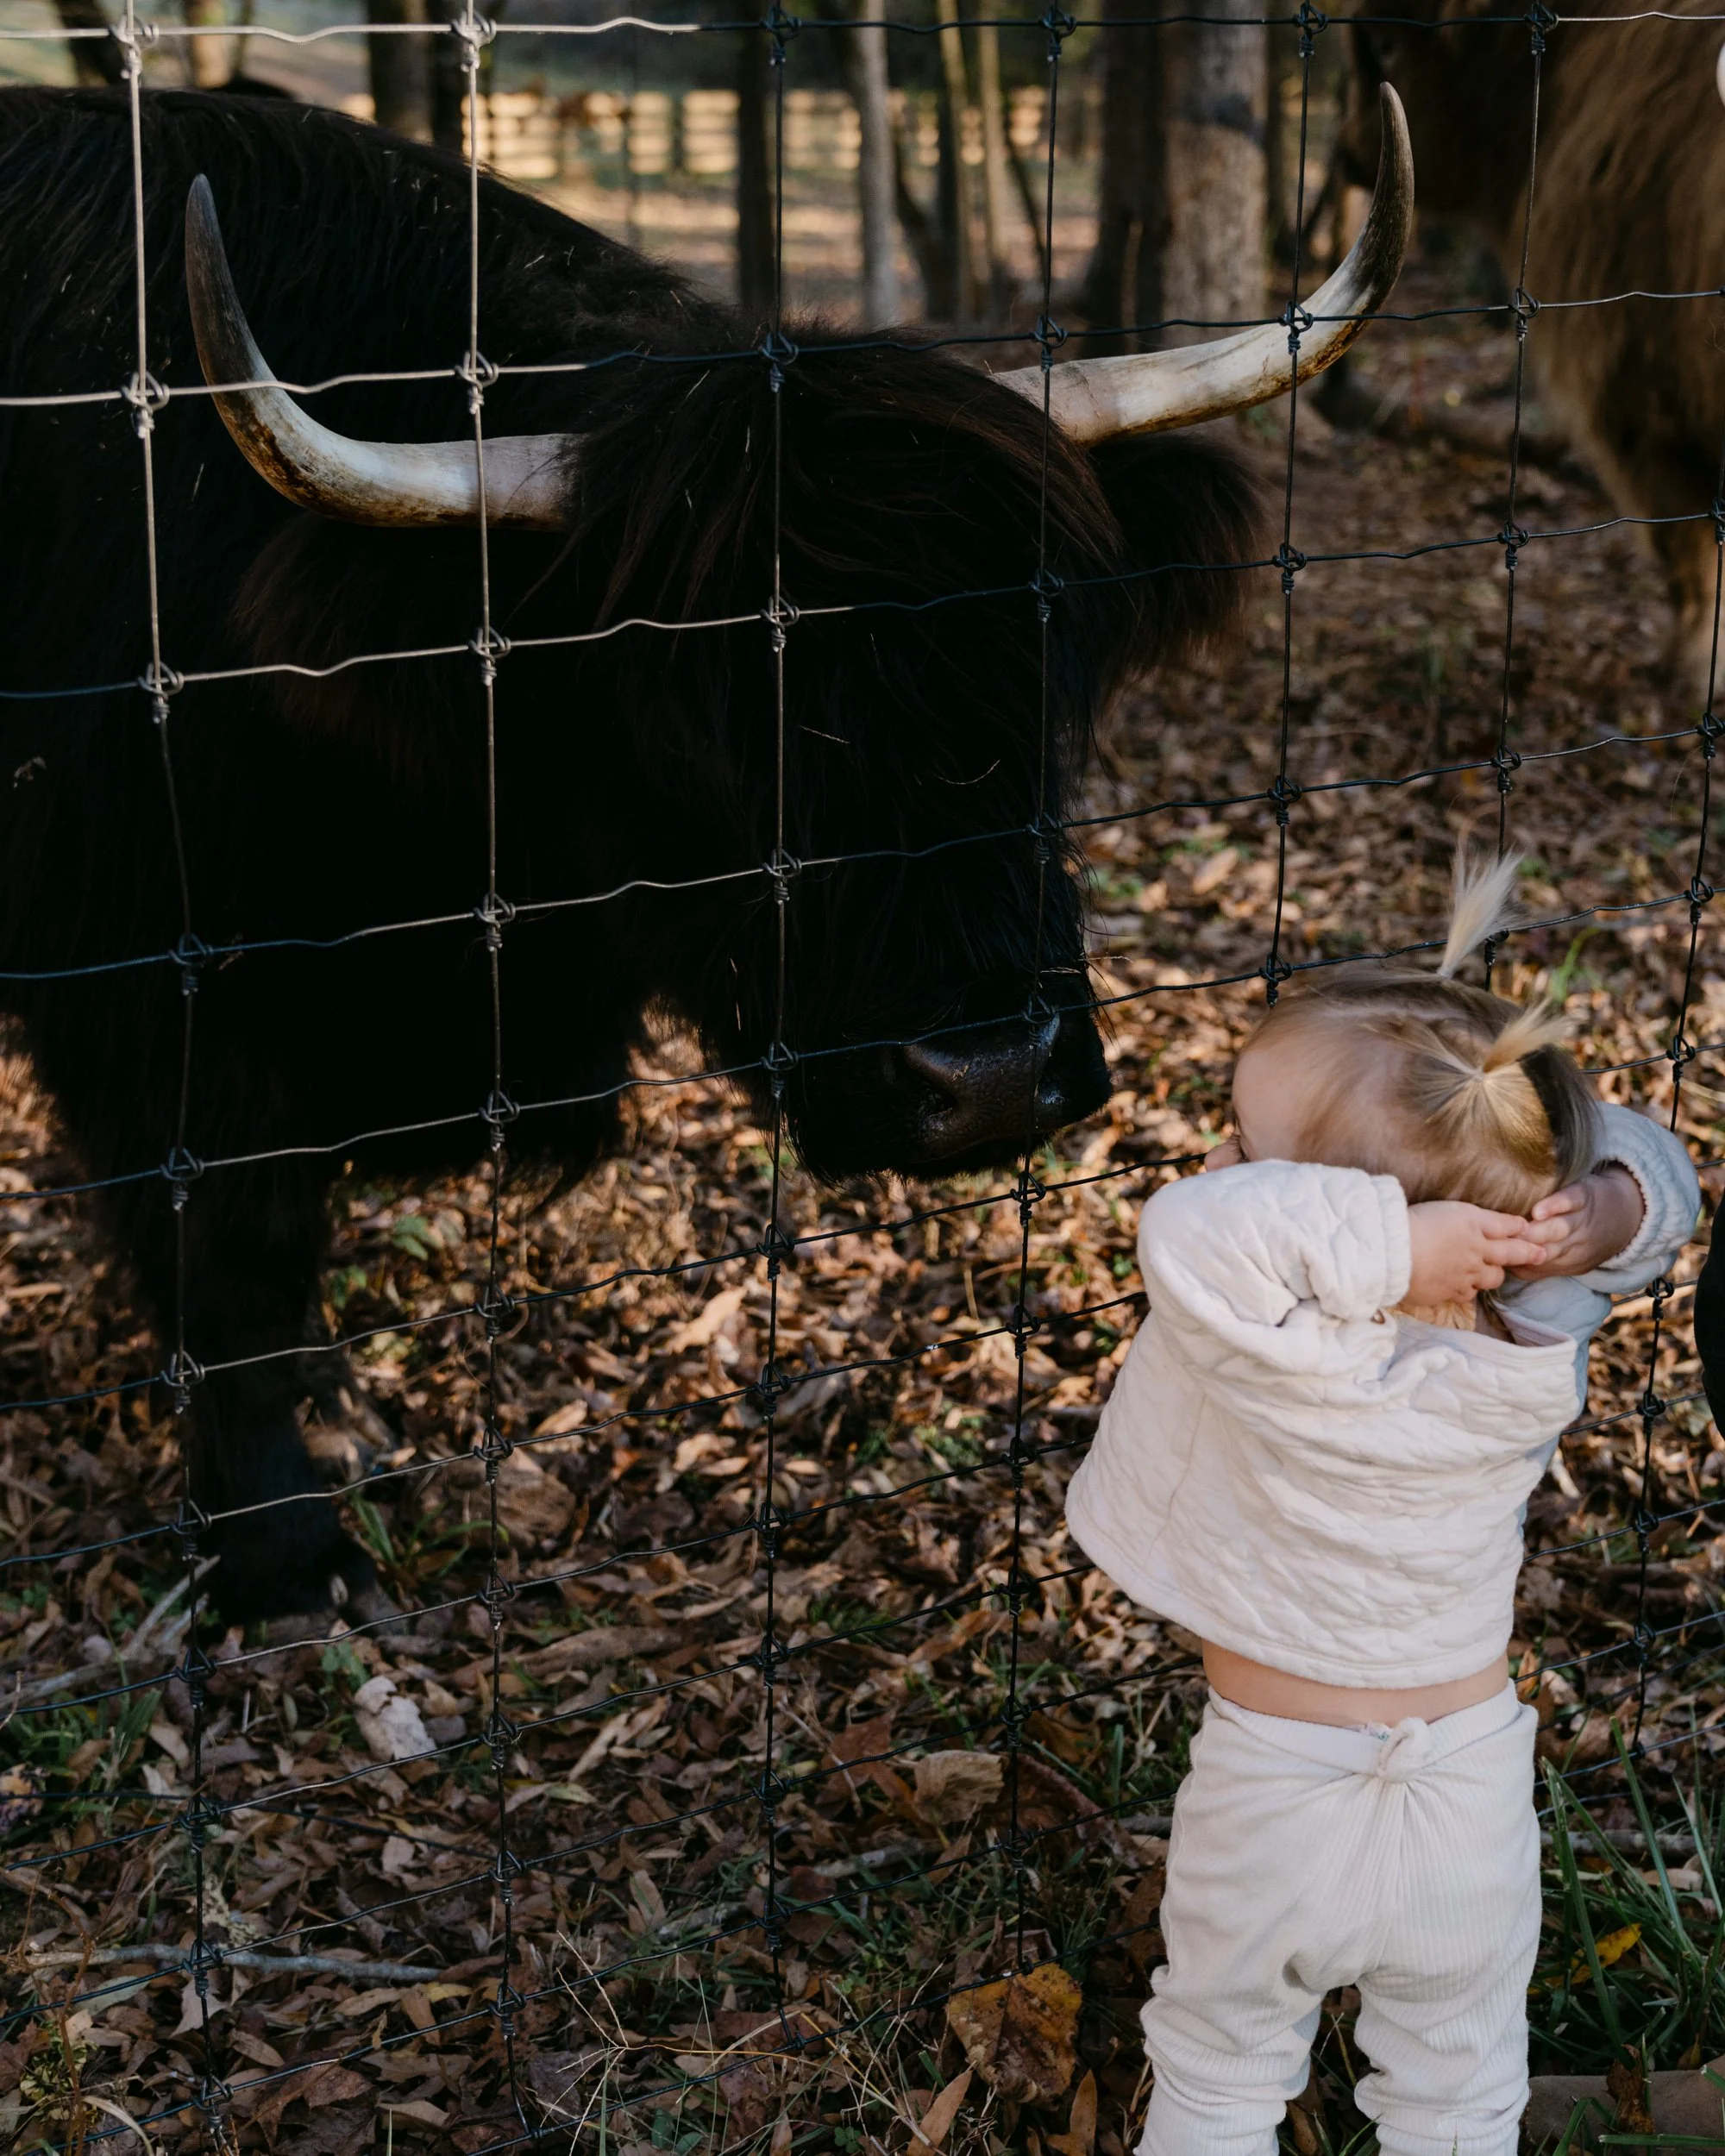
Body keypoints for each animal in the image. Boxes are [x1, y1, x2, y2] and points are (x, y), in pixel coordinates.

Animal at [0, 85, 1411, 1630]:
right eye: (698, 720)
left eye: (1039, 670)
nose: (988, 1077)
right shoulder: (152, 997)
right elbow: (236, 1257)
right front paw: (280, 1552)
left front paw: (329, 1407)